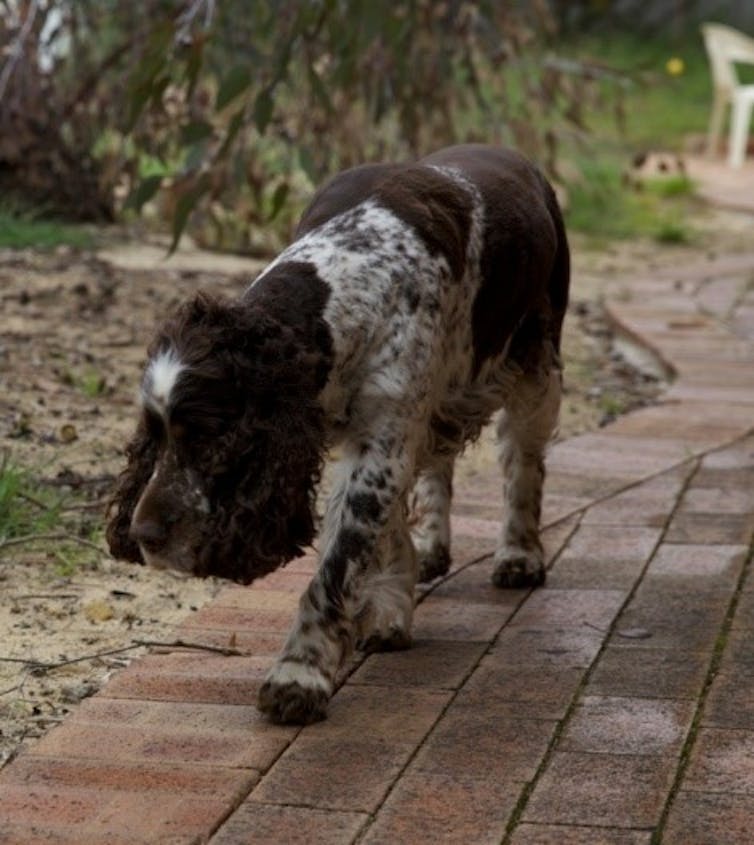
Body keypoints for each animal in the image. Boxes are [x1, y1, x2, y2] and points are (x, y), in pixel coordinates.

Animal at [104, 143, 564, 720]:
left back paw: (520, 554)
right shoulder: (381, 431)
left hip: (534, 366)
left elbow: (338, 563)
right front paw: (390, 606)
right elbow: (381, 533)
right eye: (155, 435)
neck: (346, 277)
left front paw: (299, 673)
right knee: (439, 463)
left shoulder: (384, 437)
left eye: (208, 439)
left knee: (522, 464)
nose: (143, 536)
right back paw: (433, 548)